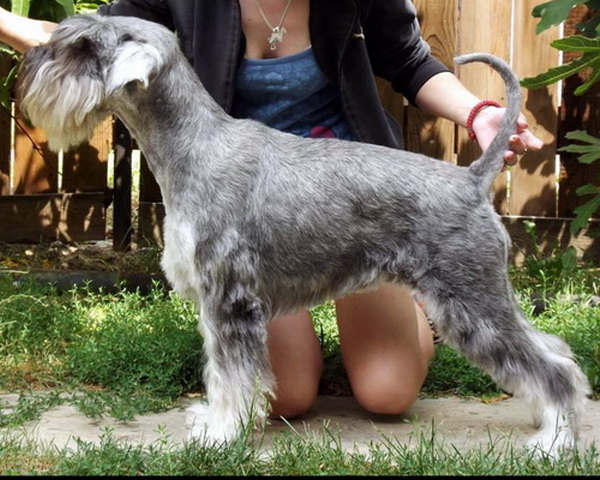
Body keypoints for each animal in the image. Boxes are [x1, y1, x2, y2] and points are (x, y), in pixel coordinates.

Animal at [17, 12, 592, 454]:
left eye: (84, 46)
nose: (26, 66)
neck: (192, 147)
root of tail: (472, 179)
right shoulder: (217, 307)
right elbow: (222, 375)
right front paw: (214, 423)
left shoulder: (229, 302)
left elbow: (233, 376)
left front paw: (221, 437)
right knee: (556, 352)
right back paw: (547, 424)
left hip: (471, 301)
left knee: (553, 368)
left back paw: (554, 442)